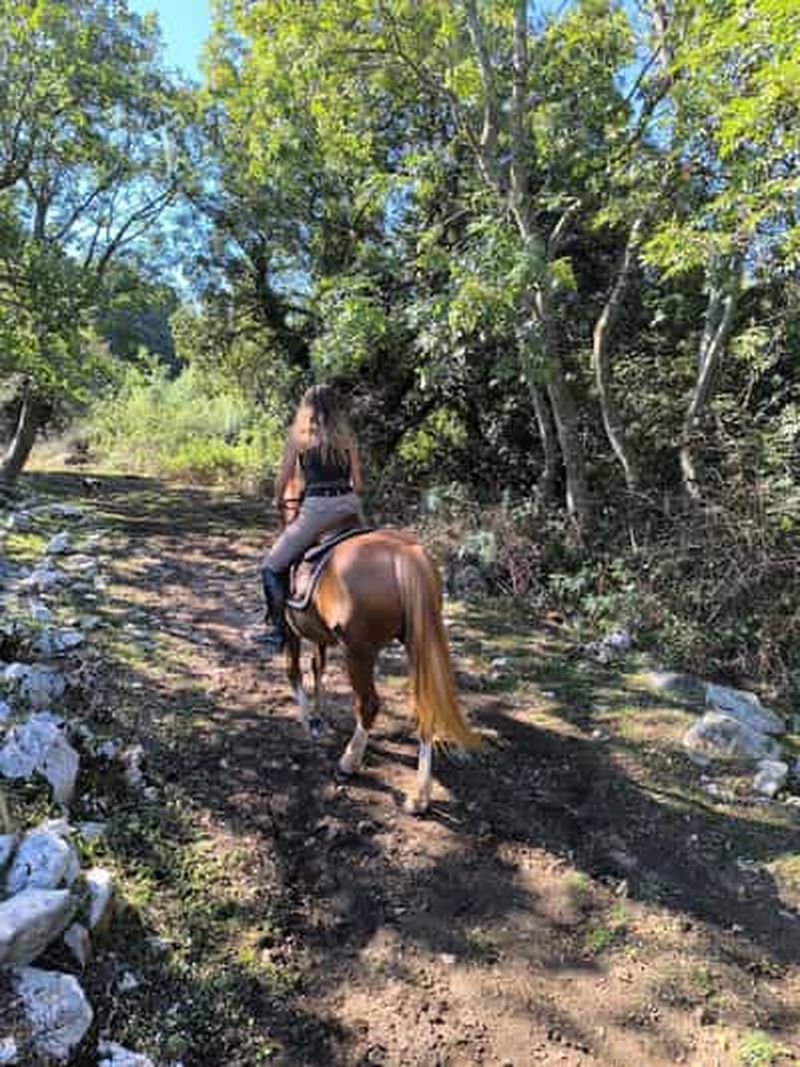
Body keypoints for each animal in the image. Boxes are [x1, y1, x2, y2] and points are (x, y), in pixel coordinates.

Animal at [278, 486, 480, 814]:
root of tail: (406, 555)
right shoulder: (320, 635)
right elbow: (317, 666)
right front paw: (320, 715)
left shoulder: (290, 629)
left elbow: (294, 671)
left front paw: (309, 722)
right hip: (417, 644)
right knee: (425, 706)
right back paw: (420, 796)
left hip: (358, 653)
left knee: (369, 704)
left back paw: (349, 762)